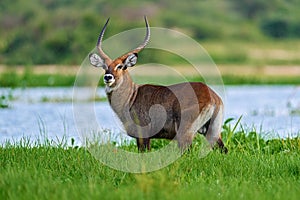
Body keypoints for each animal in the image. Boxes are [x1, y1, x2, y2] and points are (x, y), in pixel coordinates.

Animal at [89, 17, 227, 153]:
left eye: (120, 66)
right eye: (105, 67)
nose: (108, 77)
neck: (131, 96)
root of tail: (212, 96)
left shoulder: (143, 135)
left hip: (185, 134)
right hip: (212, 132)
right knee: (223, 150)